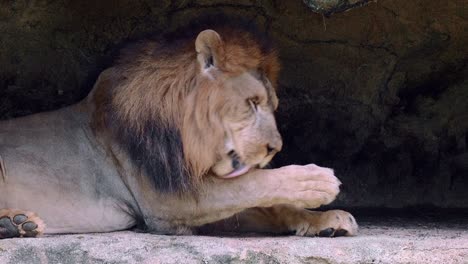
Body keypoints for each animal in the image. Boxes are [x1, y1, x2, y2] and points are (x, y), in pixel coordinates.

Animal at [0, 18, 358, 237]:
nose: (275, 148)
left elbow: (269, 204)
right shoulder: (168, 202)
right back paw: (15, 223)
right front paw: (315, 181)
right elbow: (255, 185)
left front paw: (327, 219)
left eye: (273, 105)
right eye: (252, 102)